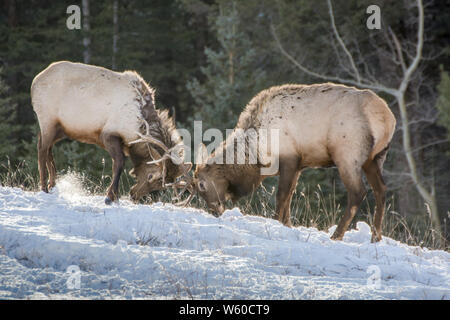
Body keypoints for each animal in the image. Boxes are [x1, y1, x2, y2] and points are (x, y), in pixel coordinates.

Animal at [31, 61, 190, 204]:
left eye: (161, 185)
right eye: (151, 176)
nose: (134, 195)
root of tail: (35, 82)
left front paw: (115, 196)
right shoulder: (108, 134)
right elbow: (119, 163)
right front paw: (110, 197)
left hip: (61, 129)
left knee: (47, 148)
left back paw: (52, 184)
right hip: (47, 120)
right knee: (42, 148)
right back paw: (44, 187)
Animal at [195, 84, 396, 241]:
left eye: (202, 185)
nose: (215, 210)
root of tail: (387, 119)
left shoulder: (289, 158)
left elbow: (282, 196)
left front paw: (276, 222)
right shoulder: (299, 164)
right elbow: (290, 196)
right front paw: (287, 225)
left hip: (348, 155)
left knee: (357, 192)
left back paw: (337, 236)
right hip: (375, 158)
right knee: (381, 190)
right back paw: (375, 237)